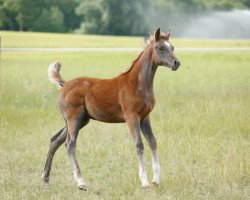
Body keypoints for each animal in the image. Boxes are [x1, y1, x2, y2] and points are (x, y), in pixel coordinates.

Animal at [42, 27, 180, 189]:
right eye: (160, 48)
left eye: (172, 47)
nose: (176, 62)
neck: (137, 84)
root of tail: (65, 84)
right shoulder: (131, 116)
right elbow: (139, 145)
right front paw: (145, 182)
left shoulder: (145, 117)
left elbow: (152, 142)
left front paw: (156, 180)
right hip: (74, 118)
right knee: (70, 144)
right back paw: (81, 182)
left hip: (80, 120)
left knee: (55, 140)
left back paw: (45, 179)